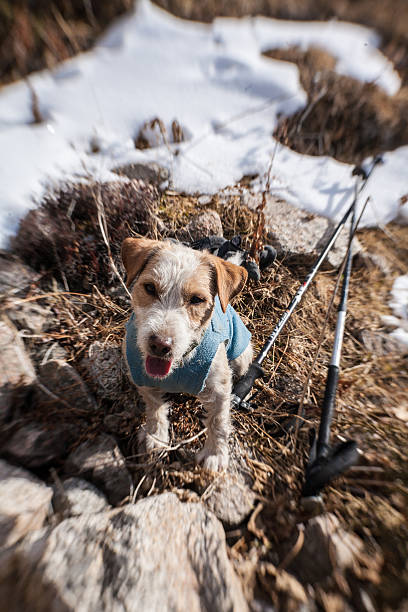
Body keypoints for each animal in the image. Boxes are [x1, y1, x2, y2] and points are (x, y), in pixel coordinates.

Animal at [121, 237, 253, 470]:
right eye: (150, 287)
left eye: (197, 299)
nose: (160, 344)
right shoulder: (141, 378)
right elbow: (154, 407)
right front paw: (156, 435)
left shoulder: (219, 388)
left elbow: (218, 421)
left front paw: (215, 454)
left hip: (242, 355)